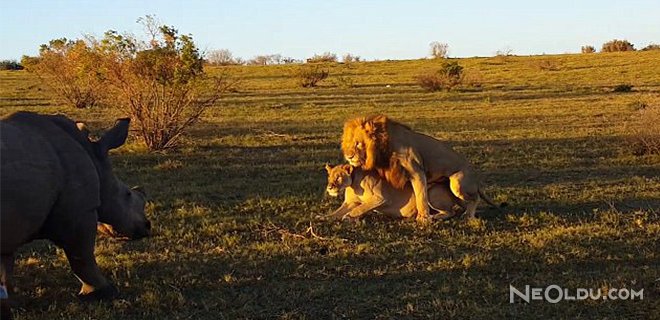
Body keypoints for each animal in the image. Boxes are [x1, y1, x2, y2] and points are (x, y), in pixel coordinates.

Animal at [324, 164, 458, 221]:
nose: (329, 187)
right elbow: (336, 212)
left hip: (430, 193)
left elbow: (360, 208)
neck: (353, 184)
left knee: (451, 212)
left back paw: (434, 216)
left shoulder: (380, 198)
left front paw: (348, 216)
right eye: (329, 177)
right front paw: (323, 217)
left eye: (338, 177)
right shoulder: (350, 202)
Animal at [340, 115, 500, 222]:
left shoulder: (416, 171)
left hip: (457, 183)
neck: (384, 148)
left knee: (475, 198)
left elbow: (420, 195)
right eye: (349, 143)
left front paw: (423, 219)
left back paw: (467, 215)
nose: (348, 156)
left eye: (358, 143)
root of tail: (476, 178)